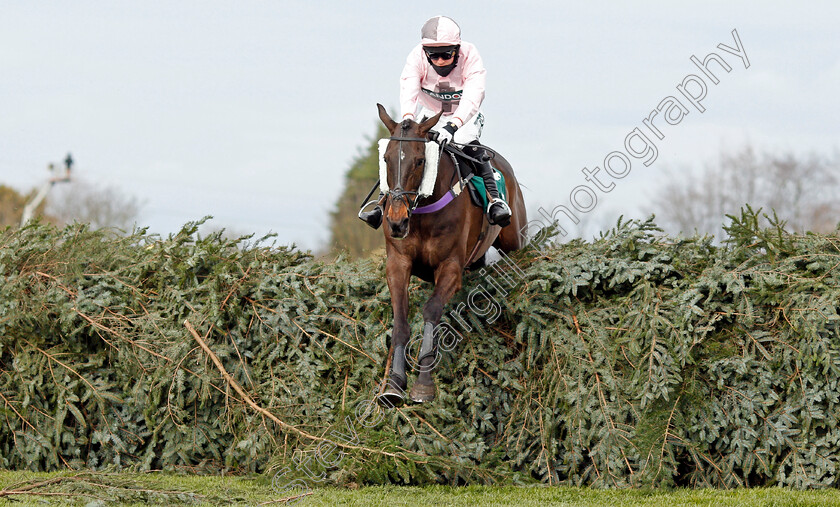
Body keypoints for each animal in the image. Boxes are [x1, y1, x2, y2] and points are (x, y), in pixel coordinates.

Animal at [378, 104, 528, 408]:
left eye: (420, 161)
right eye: (386, 158)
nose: (396, 221)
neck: (423, 212)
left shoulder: (450, 267)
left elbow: (432, 309)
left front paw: (423, 383)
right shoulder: (398, 263)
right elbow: (400, 321)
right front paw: (394, 384)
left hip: (514, 238)